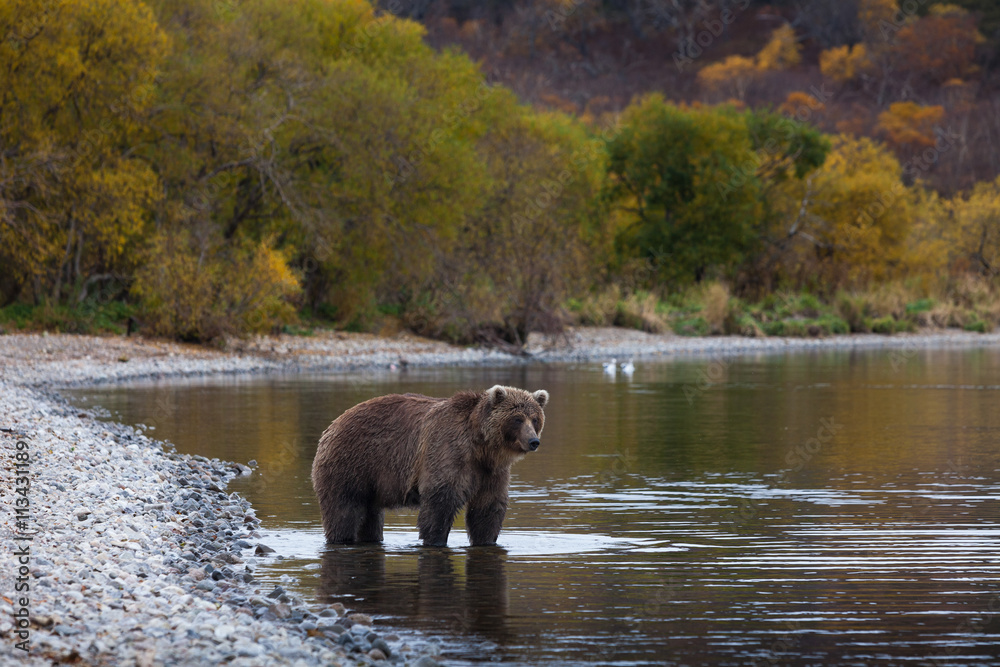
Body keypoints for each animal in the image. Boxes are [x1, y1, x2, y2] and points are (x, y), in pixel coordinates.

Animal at [311, 384, 549, 547]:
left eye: (535, 418)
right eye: (517, 418)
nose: (533, 441)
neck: (482, 447)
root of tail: (333, 425)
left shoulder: (492, 472)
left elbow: (488, 507)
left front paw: (486, 540)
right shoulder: (447, 452)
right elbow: (440, 502)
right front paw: (436, 539)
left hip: (372, 480)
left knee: (371, 517)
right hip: (352, 463)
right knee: (343, 511)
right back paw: (341, 537)